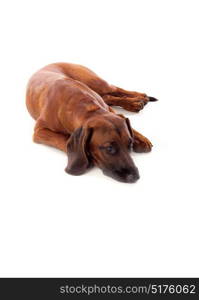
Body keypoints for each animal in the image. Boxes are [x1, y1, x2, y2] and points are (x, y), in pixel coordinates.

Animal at [26, 62, 157, 182]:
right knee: (108, 96)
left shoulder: (108, 109)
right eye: (109, 148)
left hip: (98, 83)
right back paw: (135, 102)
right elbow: (63, 139)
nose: (135, 177)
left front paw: (141, 139)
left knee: (116, 89)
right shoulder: (39, 131)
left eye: (129, 144)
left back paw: (139, 97)